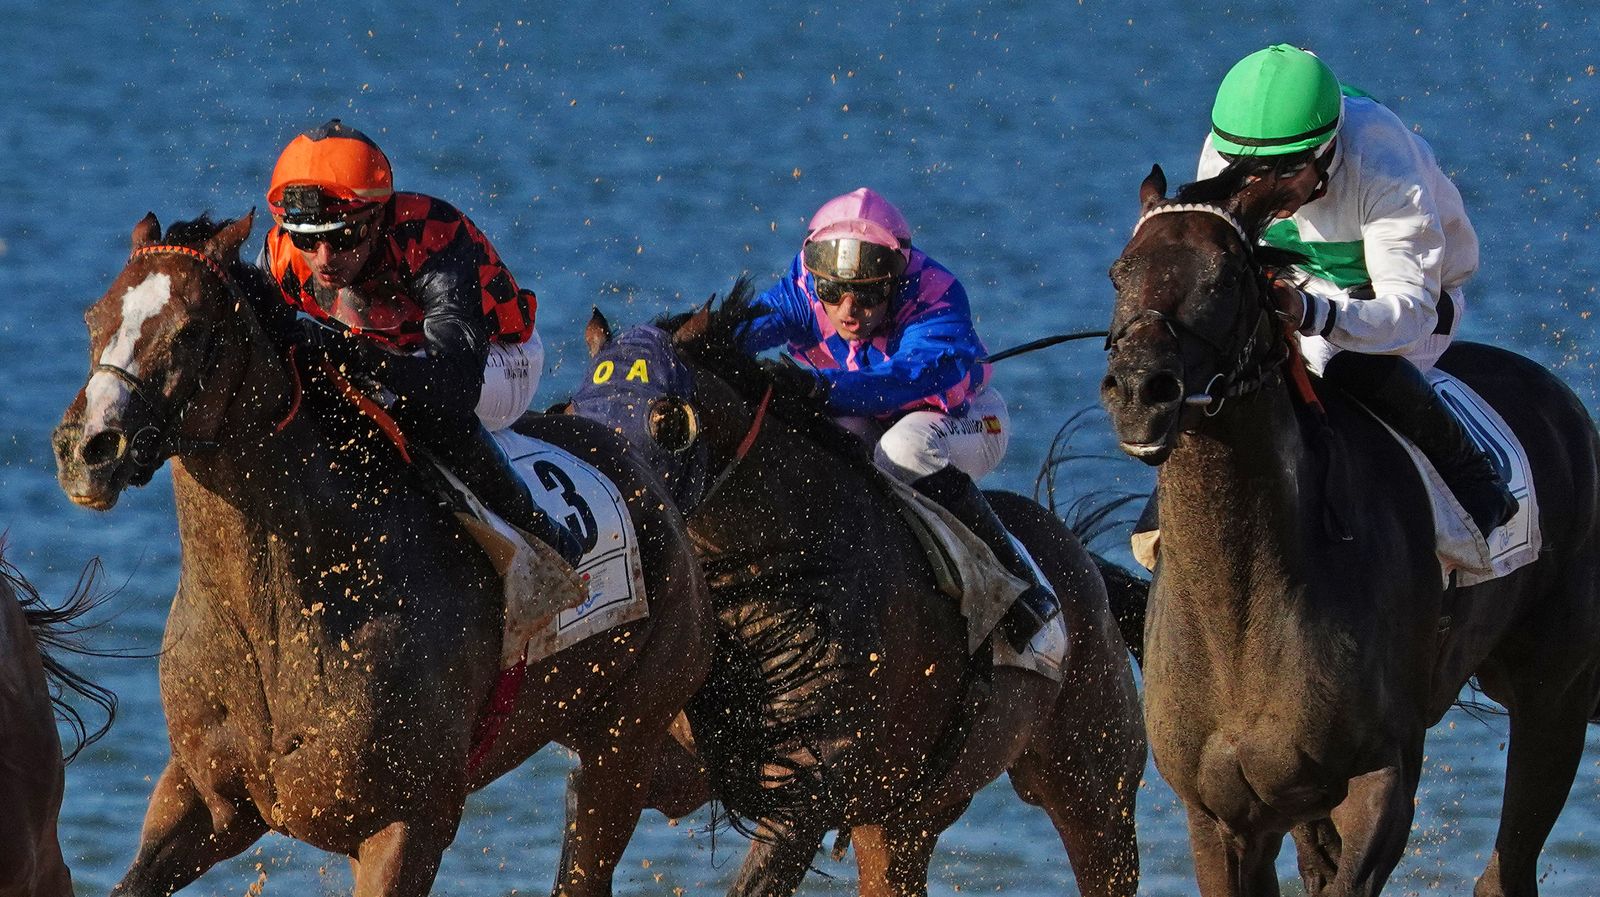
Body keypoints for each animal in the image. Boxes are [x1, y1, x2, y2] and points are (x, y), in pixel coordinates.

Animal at [51, 212, 711, 897]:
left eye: (189, 329)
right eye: (94, 318)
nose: (87, 447)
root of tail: (645, 465)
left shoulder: (407, 822)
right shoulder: (209, 799)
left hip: (623, 743)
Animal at [567, 289, 1146, 897]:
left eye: (668, 419)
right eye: (574, 413)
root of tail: (1081, 557)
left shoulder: (805, 795)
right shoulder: (652, 756)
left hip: (1092, 785)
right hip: (903, 821)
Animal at [1101, 165, 1600, 897]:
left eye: (1227, 276)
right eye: (1120, 272)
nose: (1140, 390)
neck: (1240, 607)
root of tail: (1568, 409)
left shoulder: (1380, 779)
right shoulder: (1222, 812)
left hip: (1553, 699)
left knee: (1507, 865)